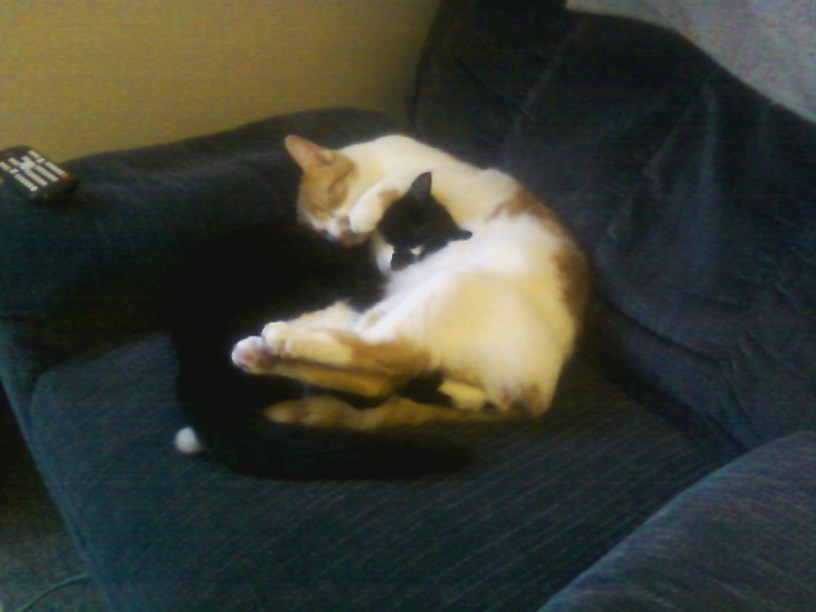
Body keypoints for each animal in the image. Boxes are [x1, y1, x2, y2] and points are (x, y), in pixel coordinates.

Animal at [231, 134, 591, 430]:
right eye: (319, 231)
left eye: (329, 201)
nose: (338, 236)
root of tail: (538, 399)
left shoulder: (434, 175)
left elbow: (390, 184)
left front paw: (364, 213)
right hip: (406, 308)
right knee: (376, 367)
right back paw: (264, 350)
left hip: (447, 289)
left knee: (381, 357)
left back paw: (280, 340)